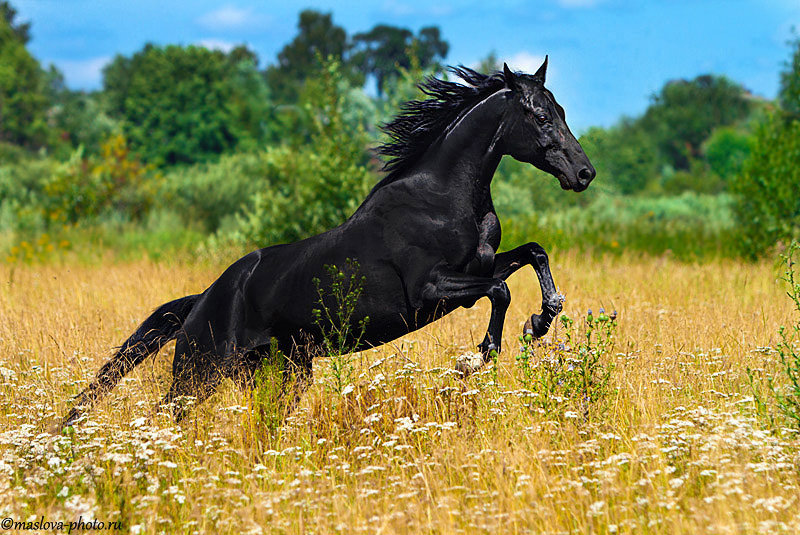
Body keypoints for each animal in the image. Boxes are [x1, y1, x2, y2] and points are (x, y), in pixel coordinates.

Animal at [64, 58, 592, 428]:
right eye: (540, 117)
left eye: (562, 110)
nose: (584, 173)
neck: (441, 198)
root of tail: (201, 301)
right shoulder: (430, 290)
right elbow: (500, 291)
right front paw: (481, 355)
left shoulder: (478, 267)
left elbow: (532, 253)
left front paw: (542, 320)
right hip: (200, 370)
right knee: (166, 414)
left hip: (281, 373)